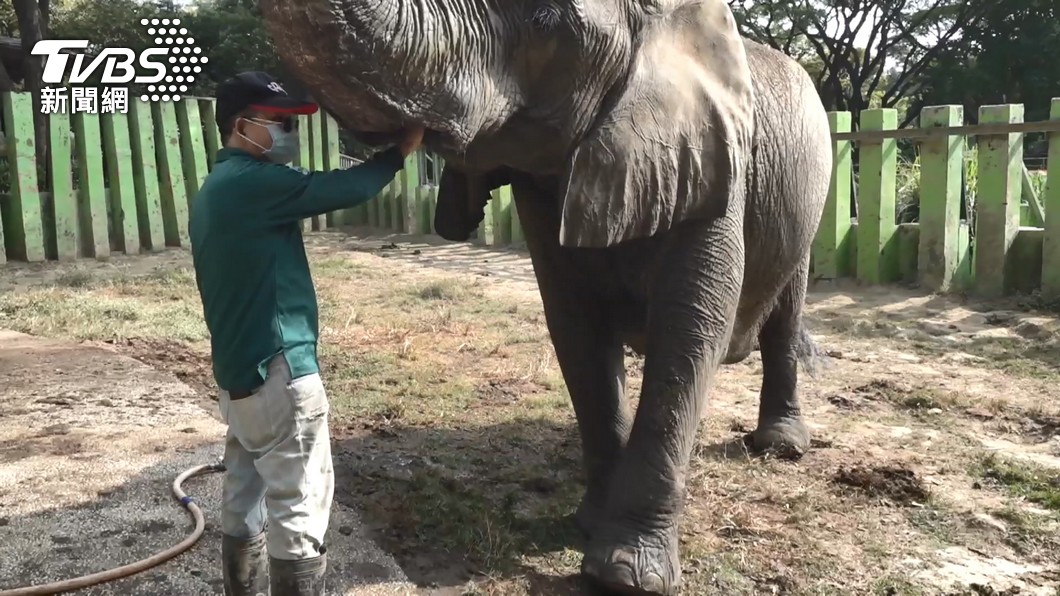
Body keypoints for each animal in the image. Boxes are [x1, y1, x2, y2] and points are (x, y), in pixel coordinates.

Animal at [258, 1, 835, 589]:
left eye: (543, 20)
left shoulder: (713, 164)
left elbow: (690, 329)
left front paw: (624, 575)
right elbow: (576, 326)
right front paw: (589, 525)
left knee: (785, 315)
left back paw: (781, 445)